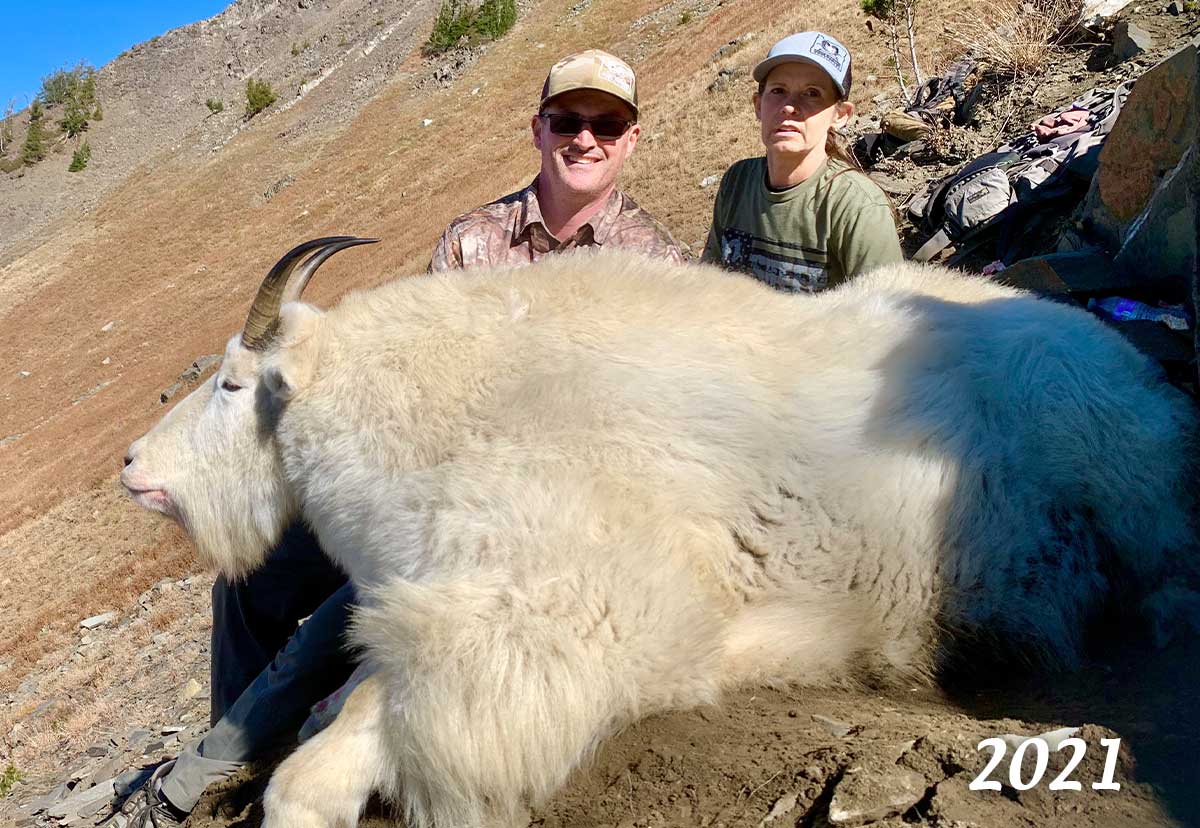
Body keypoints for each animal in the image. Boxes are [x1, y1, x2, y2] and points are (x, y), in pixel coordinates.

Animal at [122, 237, 1200, 828]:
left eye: (232, 384)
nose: (134, 465)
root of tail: (1125, 356)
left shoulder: (554, 616)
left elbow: (322, 767)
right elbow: (339, 703)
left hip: (1119, 468)